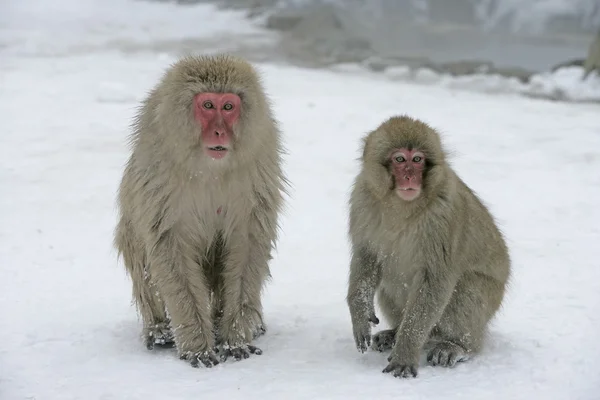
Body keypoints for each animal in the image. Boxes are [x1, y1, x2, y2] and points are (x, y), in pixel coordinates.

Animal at [116, 54, 288, 368]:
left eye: (228, 107)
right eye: (208, 105)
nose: (219, 131)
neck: (210, 168)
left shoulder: (260, 162)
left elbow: (247, 243)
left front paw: (235, 339)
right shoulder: (157, 168)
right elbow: (169, 246)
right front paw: (197, 345)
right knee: (139, 250)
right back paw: (159, 328)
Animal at [346, 115, 510, 378]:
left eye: (417, 159)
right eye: (400, 159)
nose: (410, 176)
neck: (401, 205)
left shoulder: (443, 214)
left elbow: (435, 281)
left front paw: (405, 354)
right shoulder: (362, 198)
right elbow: (366, 256)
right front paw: (359, 312)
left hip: (490, 298)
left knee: (466, 290)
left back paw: (457, 346)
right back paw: (394, 333)